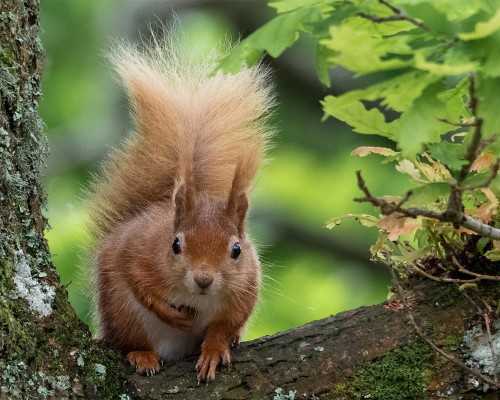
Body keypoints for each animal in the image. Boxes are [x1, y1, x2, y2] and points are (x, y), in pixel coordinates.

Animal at [86, 34, 274, 382]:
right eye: (175, 244)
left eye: (237, 250)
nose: (203, 279)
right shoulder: (136, 250)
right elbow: (138, 281)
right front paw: (171, 314)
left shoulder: (246, 286)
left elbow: (225, 325)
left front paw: (213, 350)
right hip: (121, 312)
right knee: (129, 339)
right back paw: (142, 355)